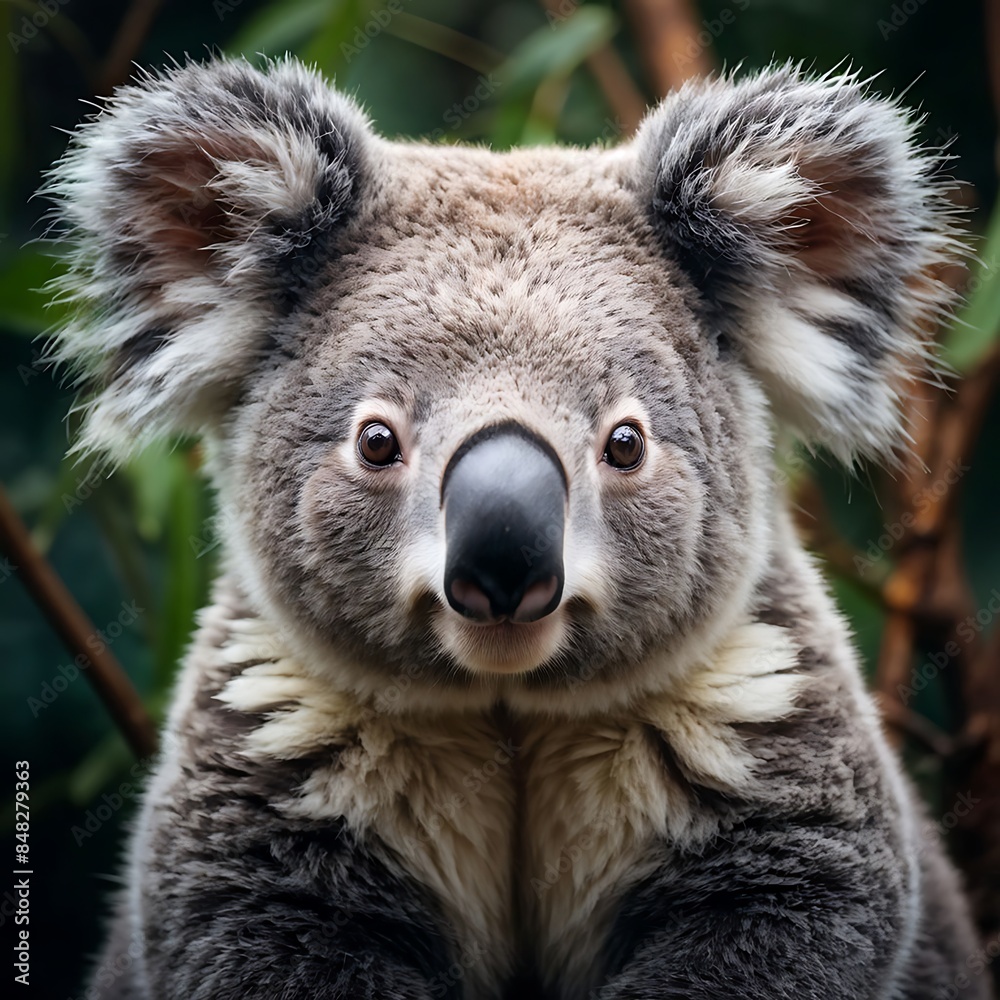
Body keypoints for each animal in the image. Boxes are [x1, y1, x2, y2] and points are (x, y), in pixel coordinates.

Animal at [45, 56, 986, 999]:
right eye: (376, 441)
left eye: (625, 443)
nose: (503, 567)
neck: (509, 705)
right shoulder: (269, 777)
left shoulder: (765, 739)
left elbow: (789, 910)